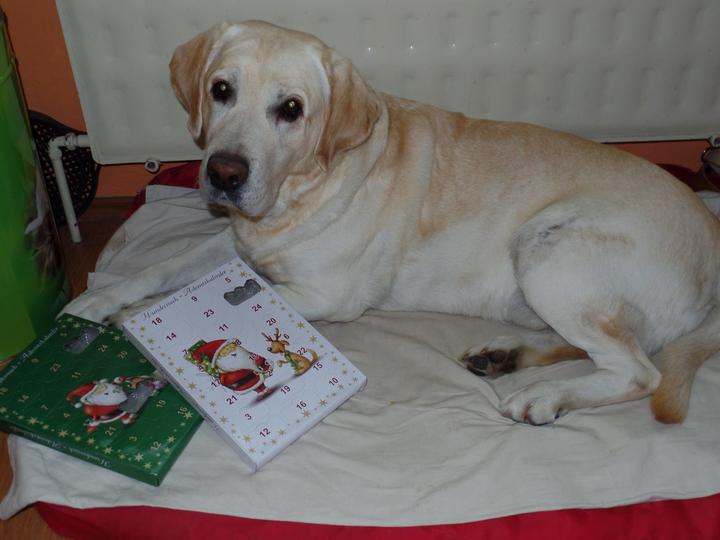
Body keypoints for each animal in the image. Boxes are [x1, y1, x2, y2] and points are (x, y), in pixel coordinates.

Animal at [63, 20, 720, 426]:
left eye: (292, 109)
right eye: (221, 89)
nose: (223, 173)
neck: (298, 193)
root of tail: (713, 234)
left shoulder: (328, 293)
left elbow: (233, 296)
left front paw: (137, 322)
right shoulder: (233, 241)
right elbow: (162, 269)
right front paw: (97, 301)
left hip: (547, 248)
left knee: (636, 370)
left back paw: (543, 396)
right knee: (594, 348)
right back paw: (503, 358)